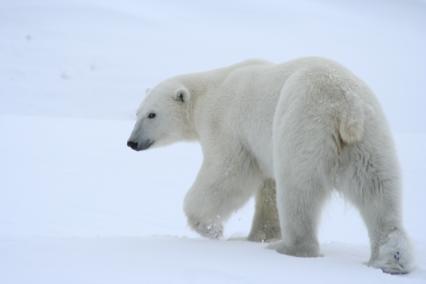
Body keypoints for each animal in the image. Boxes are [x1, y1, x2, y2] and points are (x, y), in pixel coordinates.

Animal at [127, 57, 412, 272]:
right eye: (137, 113)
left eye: (152, 114)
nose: (132, 142)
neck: (210, 91)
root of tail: (346, 107)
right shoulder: (261, 146)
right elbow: (267, 188)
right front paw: (257, 235)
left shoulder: (228, 126)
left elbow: (227, 173)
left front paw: (211, 228)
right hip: (369, 138)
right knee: (378, 192)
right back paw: (390, 259)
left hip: (303, 125)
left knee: (298, 190)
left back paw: (288, 248)